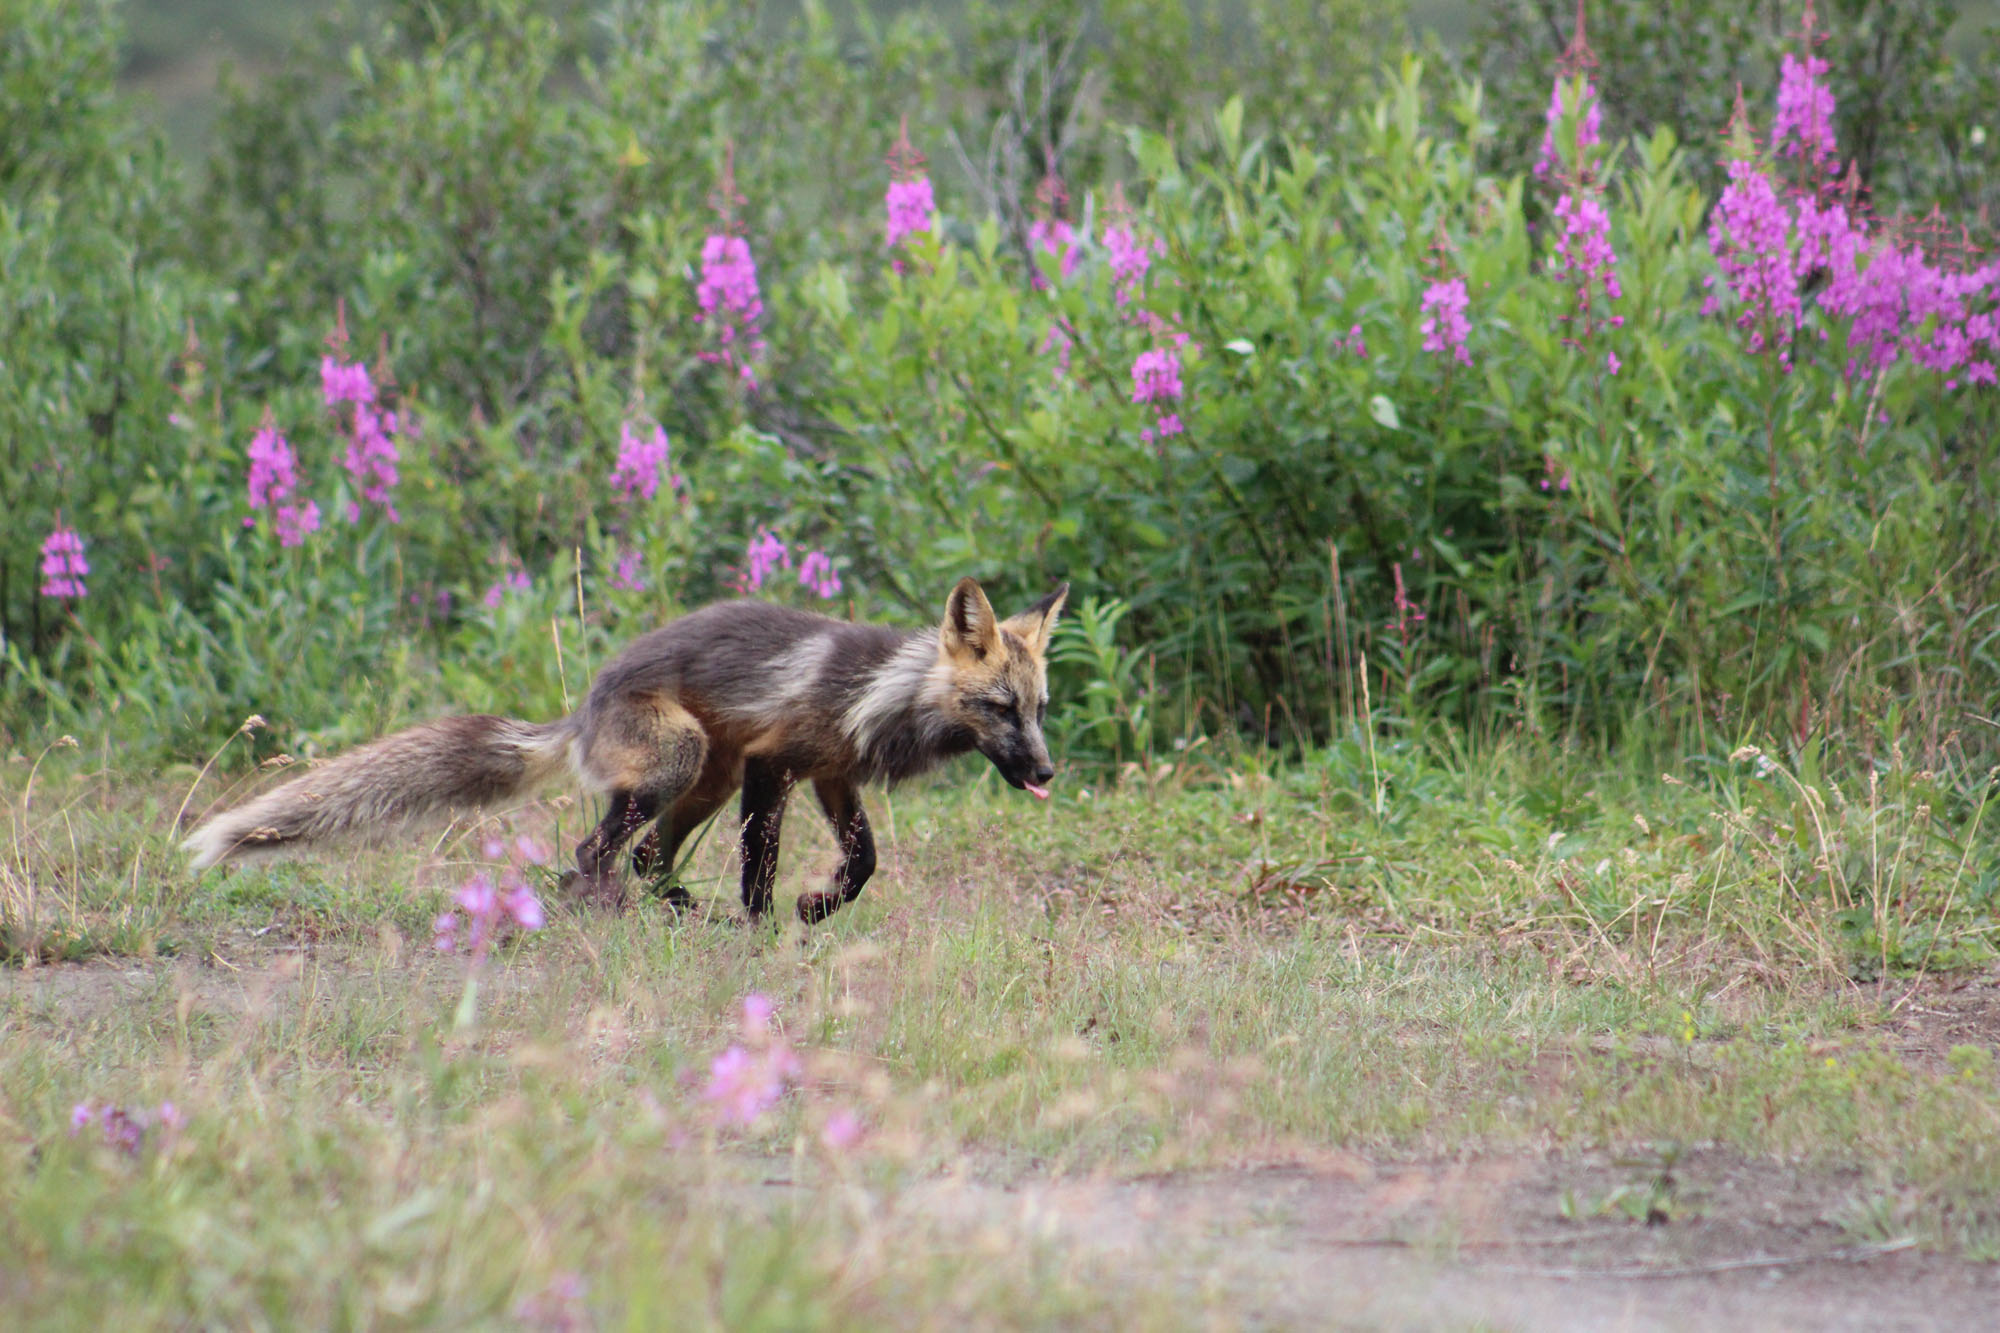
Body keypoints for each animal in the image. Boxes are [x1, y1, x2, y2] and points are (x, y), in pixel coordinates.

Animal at [185, 577, 1068, 924]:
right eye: (998, 708)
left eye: (1038, 710)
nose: (1047, 771)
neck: (878, 690)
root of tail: (582, 707)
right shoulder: (776, 762)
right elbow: (760, 868)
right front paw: (764, 930)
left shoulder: (831, 775)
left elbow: (865, 865)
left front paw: (818, 908)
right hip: (687, 759)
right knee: (593, 851)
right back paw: (609, 905)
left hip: (707, 775)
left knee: (644, 856)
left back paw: (668, 905)